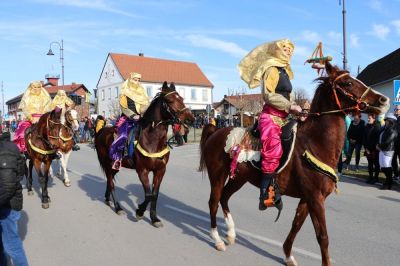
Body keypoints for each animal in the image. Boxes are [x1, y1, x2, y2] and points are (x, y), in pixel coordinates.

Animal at [94, 81, 194, 227]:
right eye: (170, 100)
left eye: (181, 98)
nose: (190, 119)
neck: (152, 140)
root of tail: (101, 130)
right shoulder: (142, 170)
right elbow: (148, 195)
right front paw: (140, 212)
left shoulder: (160, 170)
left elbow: (155, 195)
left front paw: (154, 218)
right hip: (107, 163)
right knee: (111, 183)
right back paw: (118, 207)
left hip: (115, 165)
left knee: (109, 179)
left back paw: (108, 199)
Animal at [198, 61, 390, 264]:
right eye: (347, 83)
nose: (383, 100)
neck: (314, 143)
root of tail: (216, 132)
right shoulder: (315, 198)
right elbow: (323, 236)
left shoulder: (308, 198)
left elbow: (296, 225)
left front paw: (288, 255)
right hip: (217, 176)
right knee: (214, 202)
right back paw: (217, 239)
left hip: (239, 179)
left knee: (225, 198)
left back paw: (231, 234)